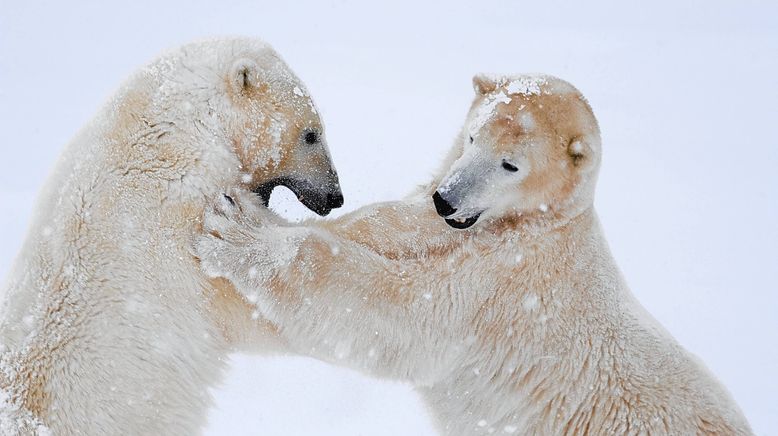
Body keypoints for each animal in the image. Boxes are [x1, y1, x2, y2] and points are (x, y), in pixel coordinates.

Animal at [196, 75, 752, 436]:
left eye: (510, 164)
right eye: (470, 136)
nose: (447, 199)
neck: (536, 224)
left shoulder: (508, 286)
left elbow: (400, 316)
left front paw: (235, 232)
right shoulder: (435, 225)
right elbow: (381, 225)